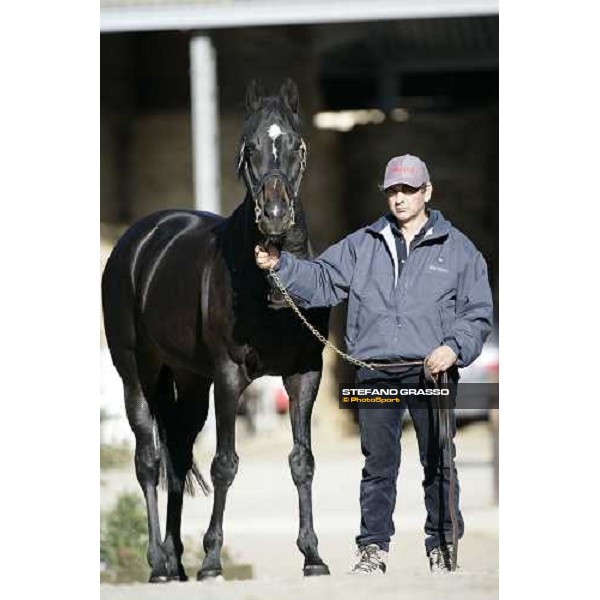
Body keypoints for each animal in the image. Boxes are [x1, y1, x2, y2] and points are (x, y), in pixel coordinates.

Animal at [101, 79, 330, 580]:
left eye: (298, 145)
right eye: (249, 147)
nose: (275, 214)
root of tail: (138, 239)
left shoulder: (305, 375)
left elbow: (302, 461)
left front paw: (313, 556)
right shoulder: (229, 376)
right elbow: (225, 464)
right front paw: (210, 560)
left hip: (189, 381)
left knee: (178, 454)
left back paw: (175, 562)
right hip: (137, 376)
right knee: (148, 461)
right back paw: (159, 564)